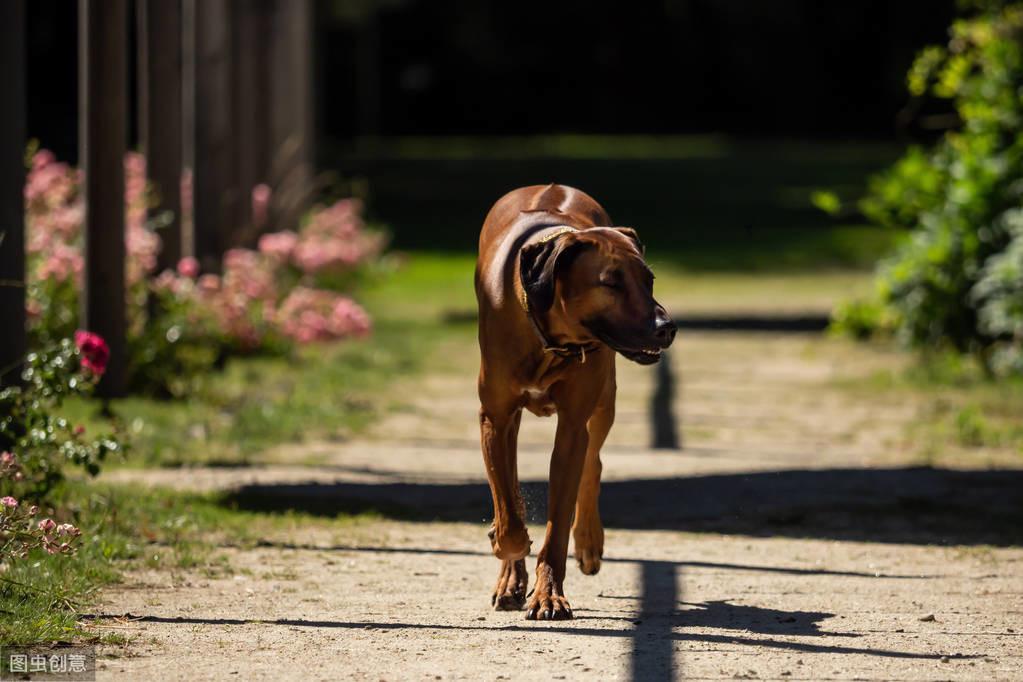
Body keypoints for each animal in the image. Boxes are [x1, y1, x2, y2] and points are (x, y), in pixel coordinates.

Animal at [474, 184, 675, 621]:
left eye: (649, 280)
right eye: (611, 283)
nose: (667, 327)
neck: (551, 338)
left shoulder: (571, 427)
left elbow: (558, 523)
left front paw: (548, 594)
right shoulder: (495, 417)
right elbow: (509, 507)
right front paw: (507, 550)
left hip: (605, 399)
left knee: (593, 461)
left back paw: (588, 541)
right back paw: (510, 576)